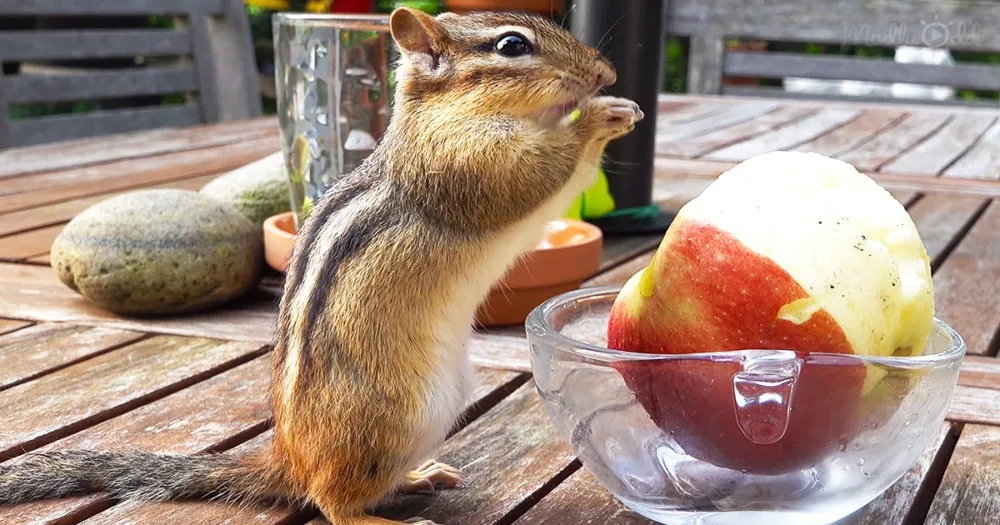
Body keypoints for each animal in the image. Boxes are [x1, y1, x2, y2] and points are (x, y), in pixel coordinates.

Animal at [0, 7, 642, 525]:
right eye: (512, 46)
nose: (605, 73)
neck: (438, 116)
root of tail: (289, 459)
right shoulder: (469, 163)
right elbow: (536, 174)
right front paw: (596, 117)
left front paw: (615, 109)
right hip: (394, 419)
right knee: (332, 505)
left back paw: (419, 475)